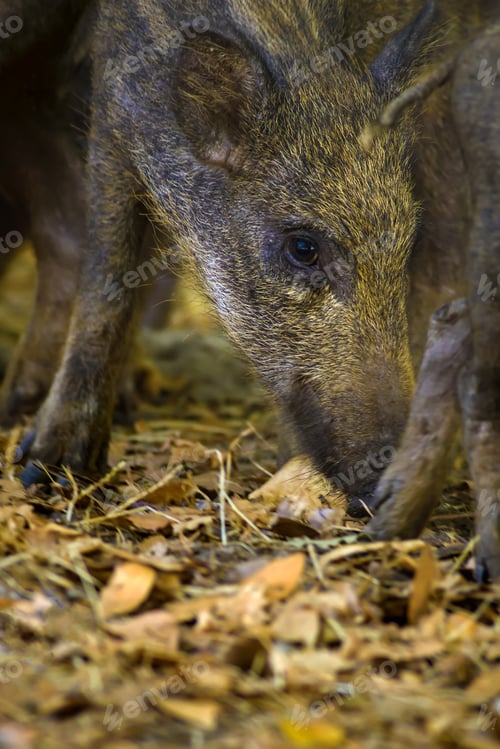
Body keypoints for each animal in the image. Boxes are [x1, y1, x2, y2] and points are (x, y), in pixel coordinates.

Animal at [17, 0, 439, 493]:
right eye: (303, 248)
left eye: (406, 244)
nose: (392, 475)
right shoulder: (112, 106)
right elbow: (107, 279)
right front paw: (45, 468)